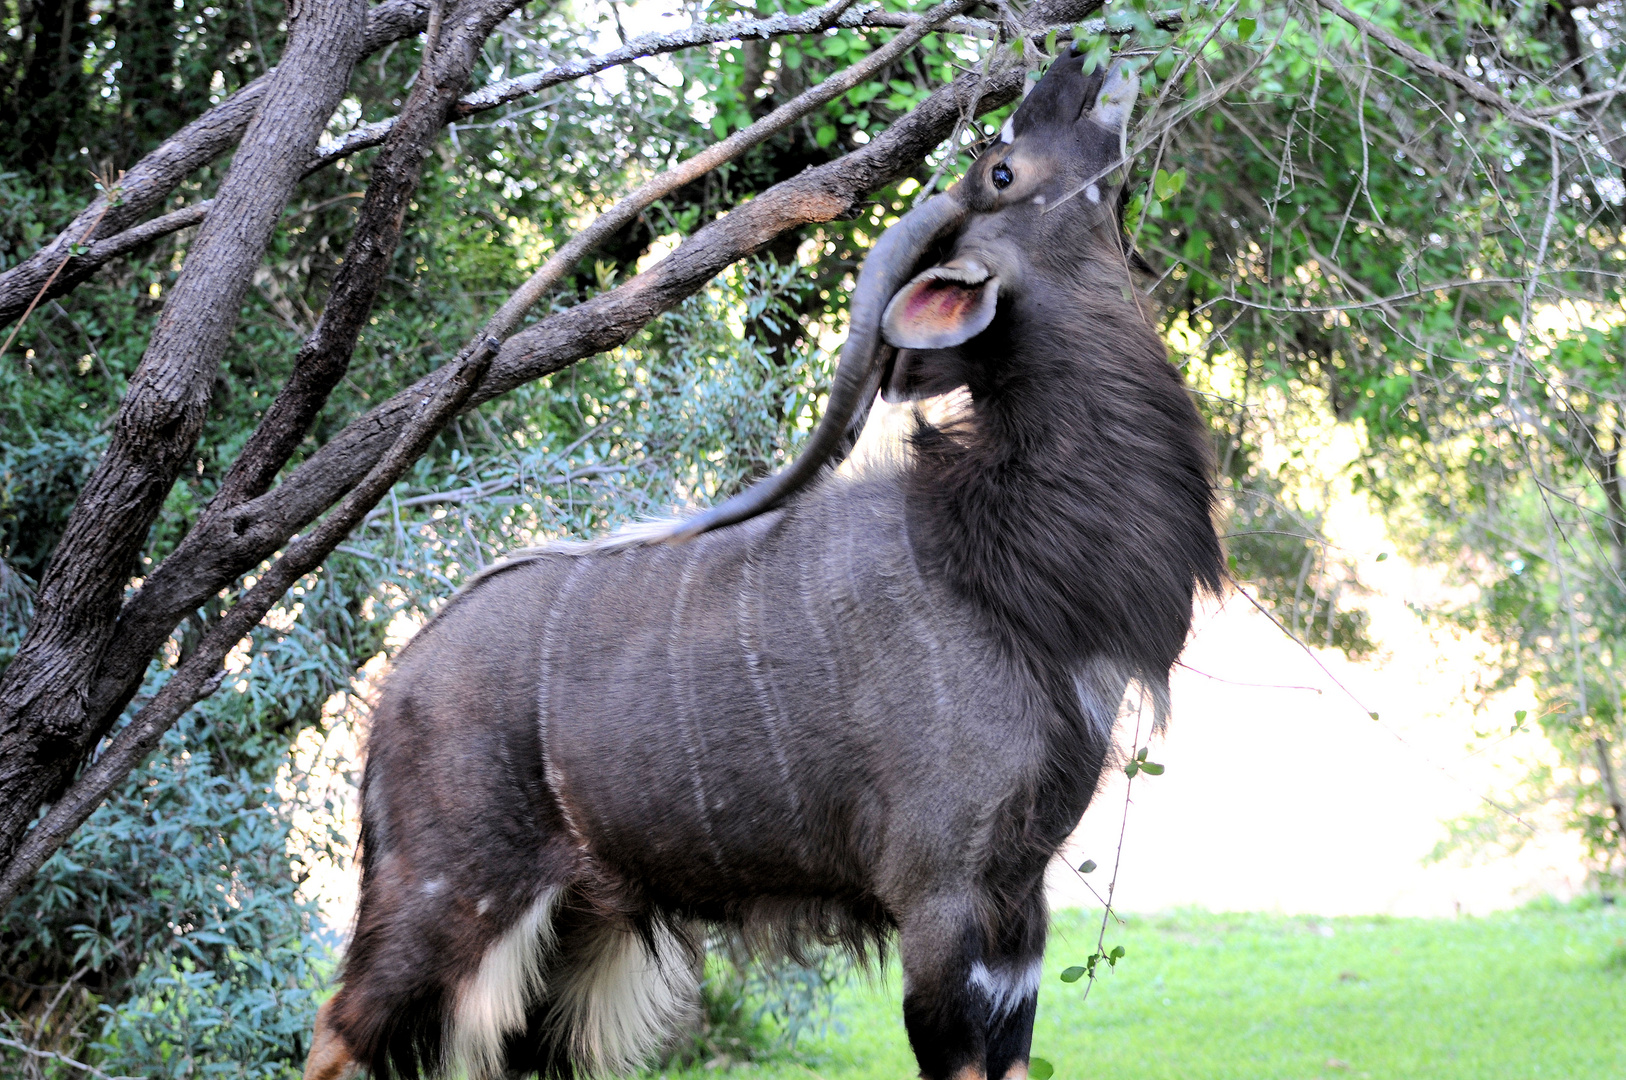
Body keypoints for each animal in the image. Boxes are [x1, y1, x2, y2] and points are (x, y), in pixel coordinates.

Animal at [305, 48, 1222, 1080]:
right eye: (1002, 170)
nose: (1073, 62)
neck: (996, 566)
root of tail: (400, 680)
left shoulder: (1017, 906)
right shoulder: (940, 899)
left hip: (573, 936)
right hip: (447, 897)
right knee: (334, 1031)